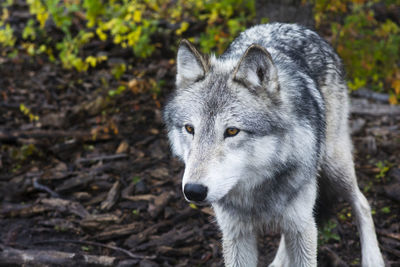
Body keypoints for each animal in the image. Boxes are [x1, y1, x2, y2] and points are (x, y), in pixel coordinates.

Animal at [162, 23, 384, 267]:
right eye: (190, 129)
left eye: (232, 131)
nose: (193, 191)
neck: (256, 189)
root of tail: (295, 26)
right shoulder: (236, 234)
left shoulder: (302, 226)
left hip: (334, 166)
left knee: (362, 203)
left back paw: (373, 258)